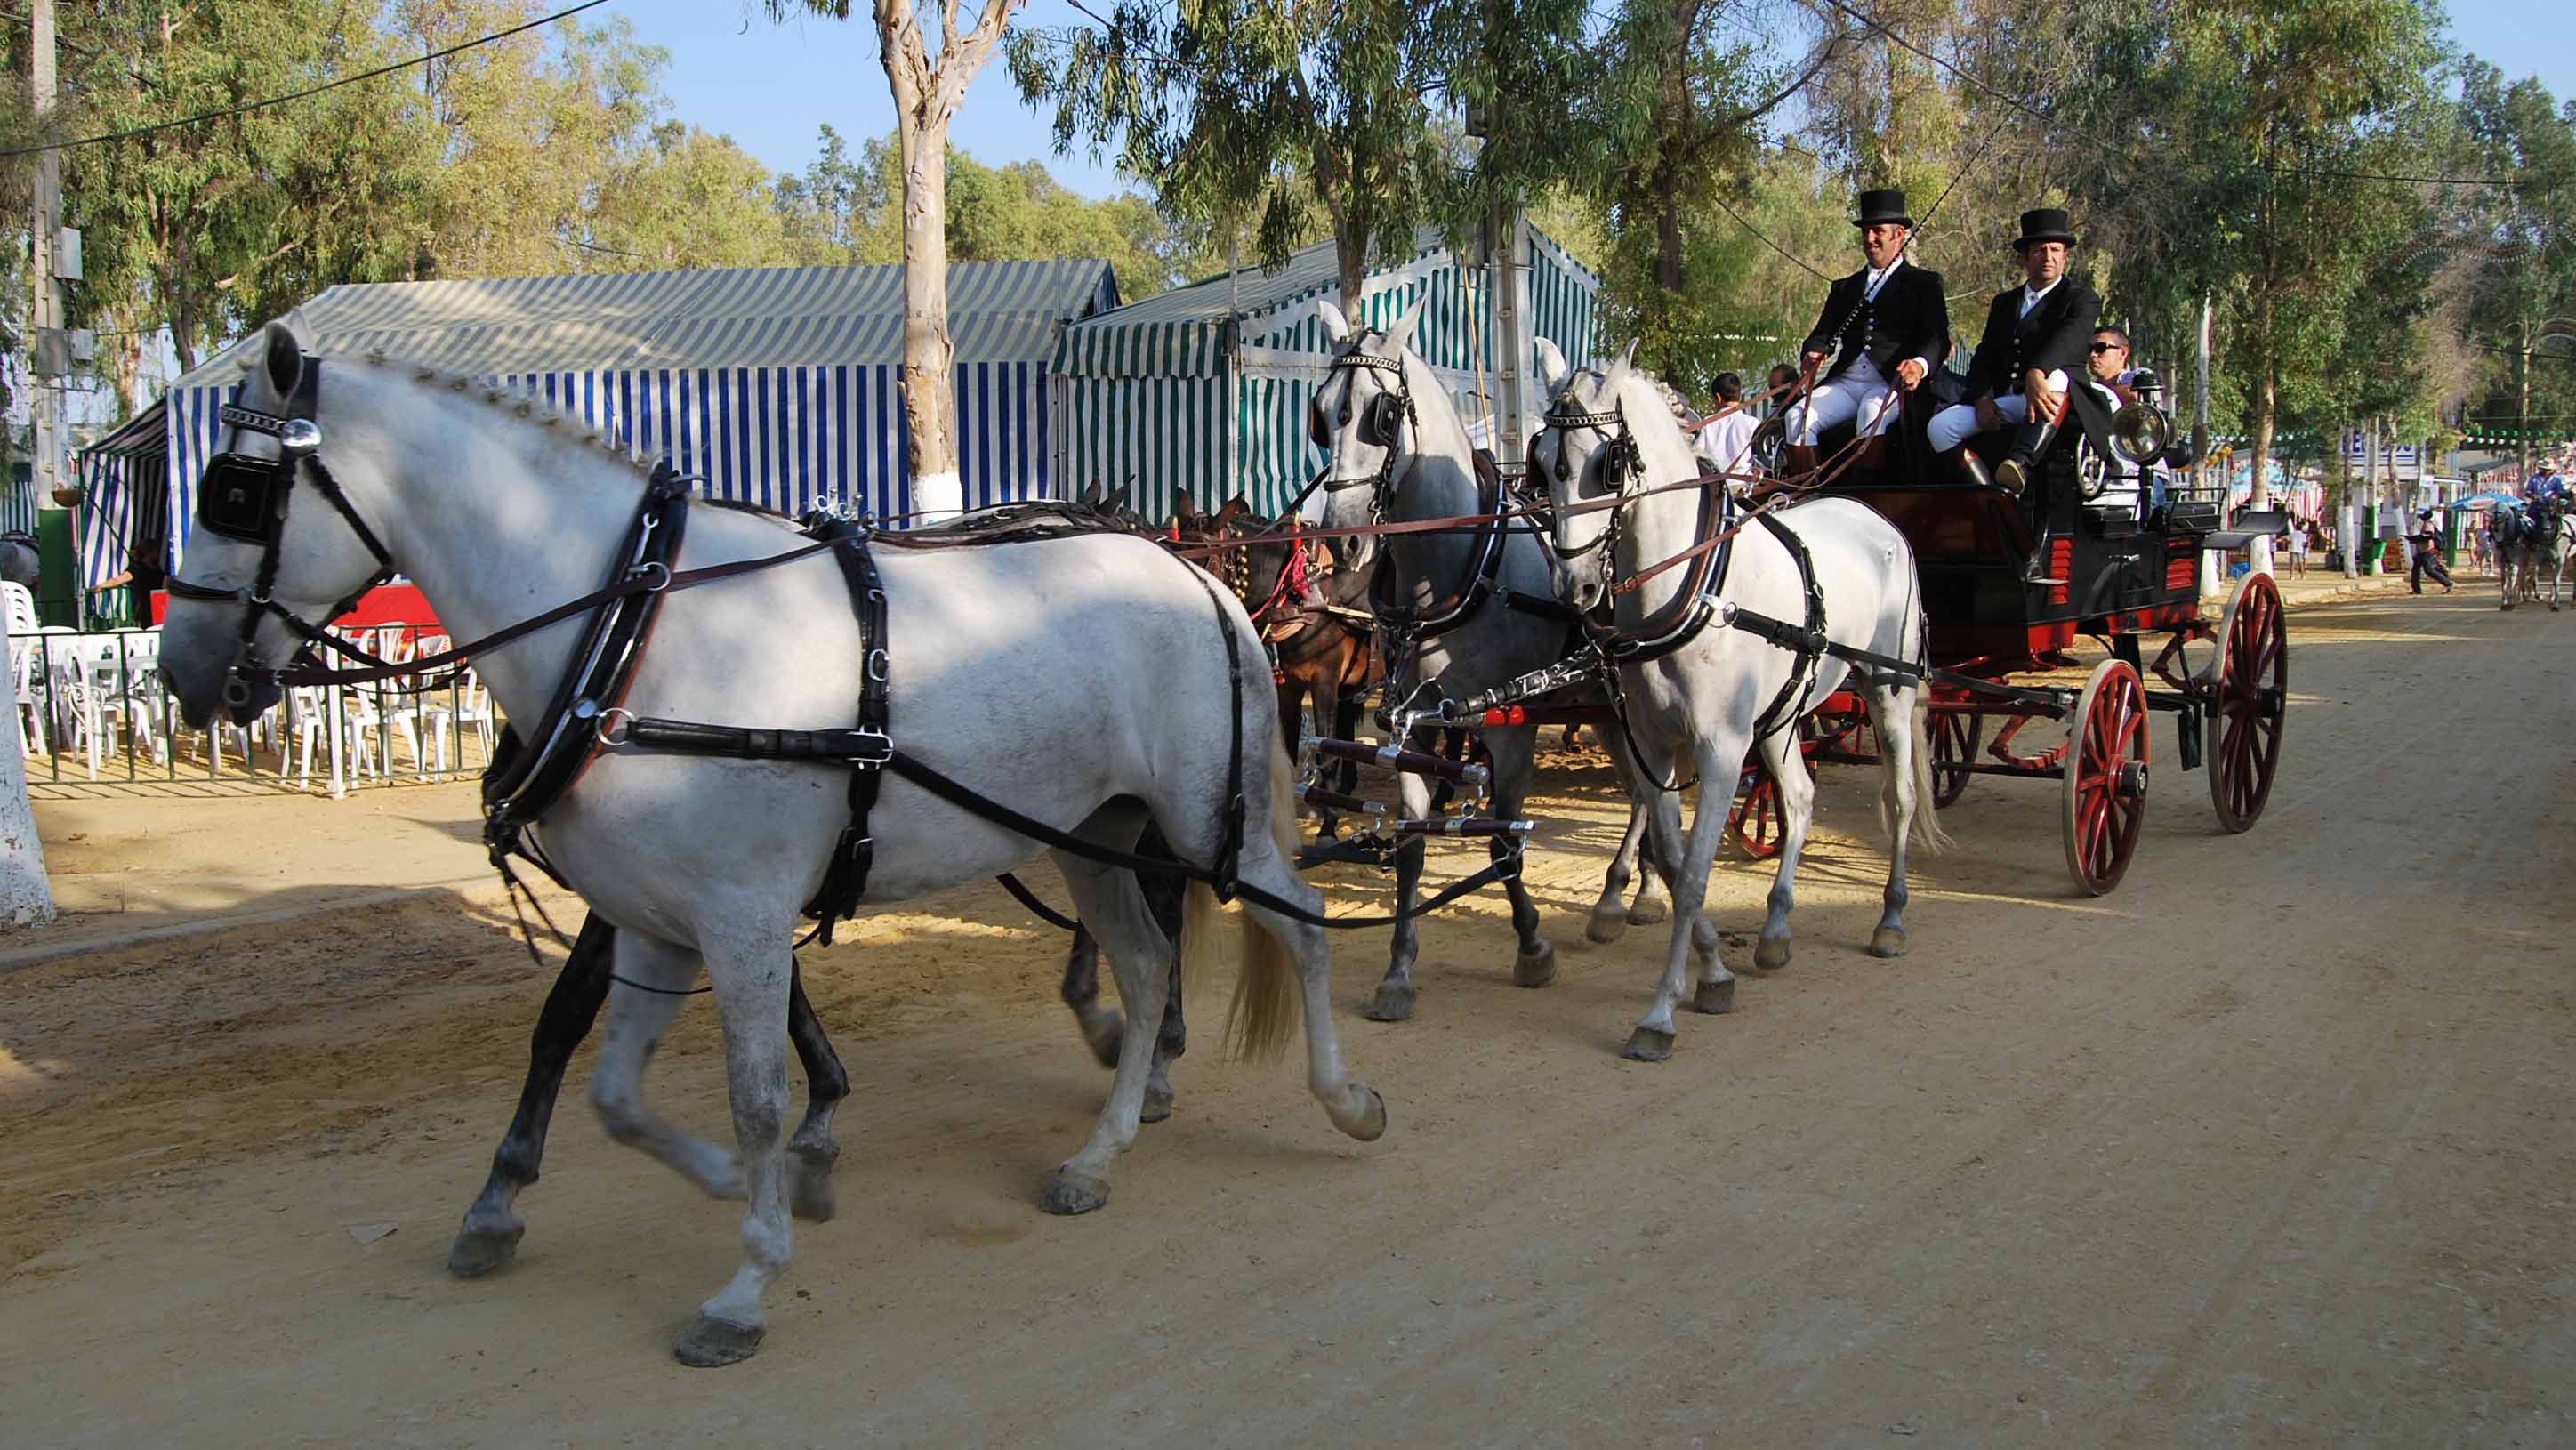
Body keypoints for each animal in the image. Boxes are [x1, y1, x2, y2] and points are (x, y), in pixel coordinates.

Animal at [161, 320, 1390, 1370]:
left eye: (236, 489)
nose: (183, 670)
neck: (633, 625)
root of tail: (1199, 580)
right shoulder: (656, 921)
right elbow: (611, 1087)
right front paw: (730, 1185)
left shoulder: (741, 917)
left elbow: (752, 1090)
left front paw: (747, 1282)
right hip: (1095, 834)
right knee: (1141, 968)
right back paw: (1099, 1152)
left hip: (1206, 819)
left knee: (1302, 931)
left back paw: (1341, 1098)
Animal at [1308, 297, 1689, 1019]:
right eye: (1321, 413)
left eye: (1382, 414)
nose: (1342, 541)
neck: (1459, 572)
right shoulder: (1414, 731)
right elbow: (1411, 848)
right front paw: (1398, 971)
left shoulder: (1507, 731)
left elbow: (1505, 841)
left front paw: (1533, 946)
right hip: (1605, 708)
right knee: (1641, 792)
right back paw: (1630, 889)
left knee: (1652, 791)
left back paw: (1637, 891)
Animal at [1535, 344, 1936, 1060]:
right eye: (1541, 459)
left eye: (1604, 462)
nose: (1574, 585)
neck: (1691, 587)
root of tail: (1876, 518)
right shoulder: (1650, 744)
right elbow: (1670, 863)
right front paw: (1713, 969)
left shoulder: (1721, 750)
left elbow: (1695, 874)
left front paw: (1660, 1013)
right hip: (1780, 717)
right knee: (1799, 797)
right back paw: (1775, 931)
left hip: (1890, 691)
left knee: (1900, 798)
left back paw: (1890, 918)